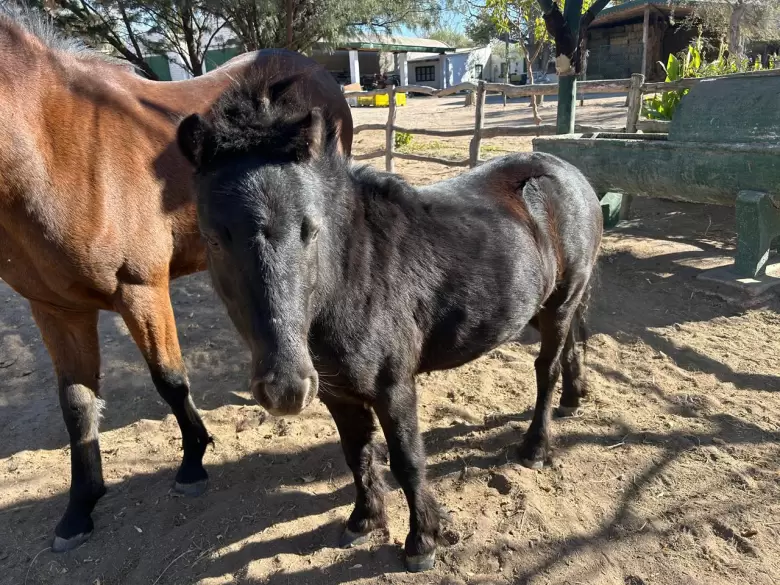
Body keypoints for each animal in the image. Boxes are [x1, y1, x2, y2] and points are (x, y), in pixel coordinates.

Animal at [0, 10, 353, 552]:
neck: (53, 147)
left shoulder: (141, 289)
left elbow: (170, 379)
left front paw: (192, 461)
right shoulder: (55, 308)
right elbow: (77, 405)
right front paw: (79, 509)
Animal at [176, 85, 603, 572]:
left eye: (310, 230)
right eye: (213, 239)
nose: (285, 389)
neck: (352, 275)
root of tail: (568, 173)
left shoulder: (393, 386)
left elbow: (406, 460)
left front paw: (422, 542)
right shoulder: (338, 394)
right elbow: (357, 454)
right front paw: (364, 520)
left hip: (559, 303)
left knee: (546, 368)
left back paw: (535, 448)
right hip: (544, 306)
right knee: (572, 347)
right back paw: (573, 398)